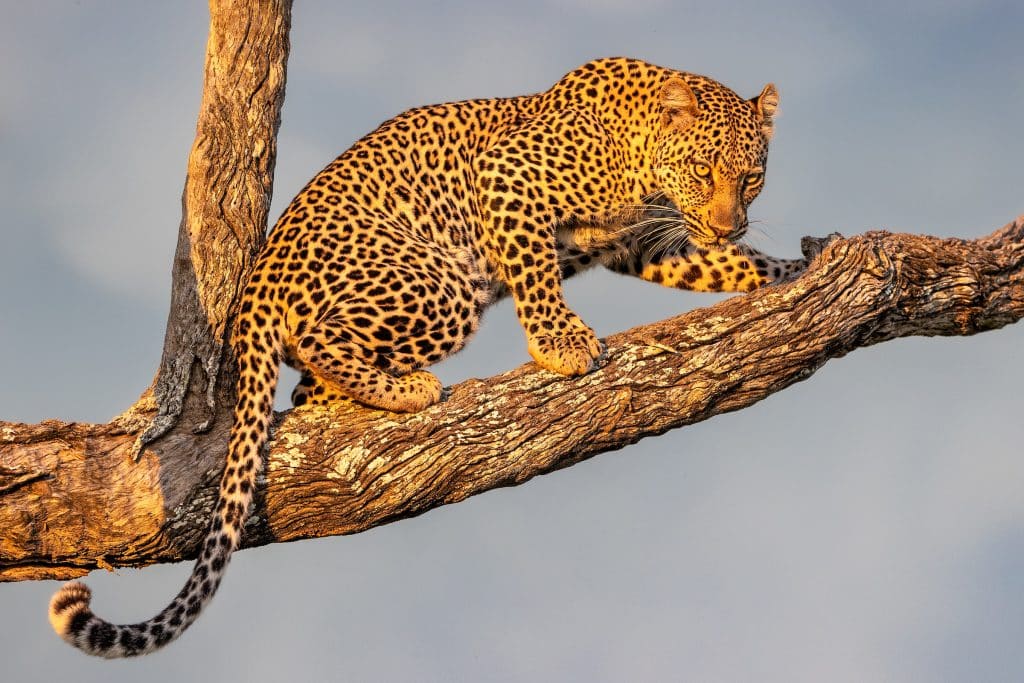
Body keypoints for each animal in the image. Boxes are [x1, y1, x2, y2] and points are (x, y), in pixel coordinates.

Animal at [48, 57, 808, 657]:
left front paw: (797, 263)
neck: (642, 156)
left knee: (302, 394)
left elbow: (723, 264)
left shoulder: (646, 241)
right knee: (321, 343)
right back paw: (407, 388)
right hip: (444, 279)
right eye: (704, 169)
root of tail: (256, 286)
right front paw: (560, 344)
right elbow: (538, 275)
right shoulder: (510, 179)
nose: (729, 220)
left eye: (751, 179)